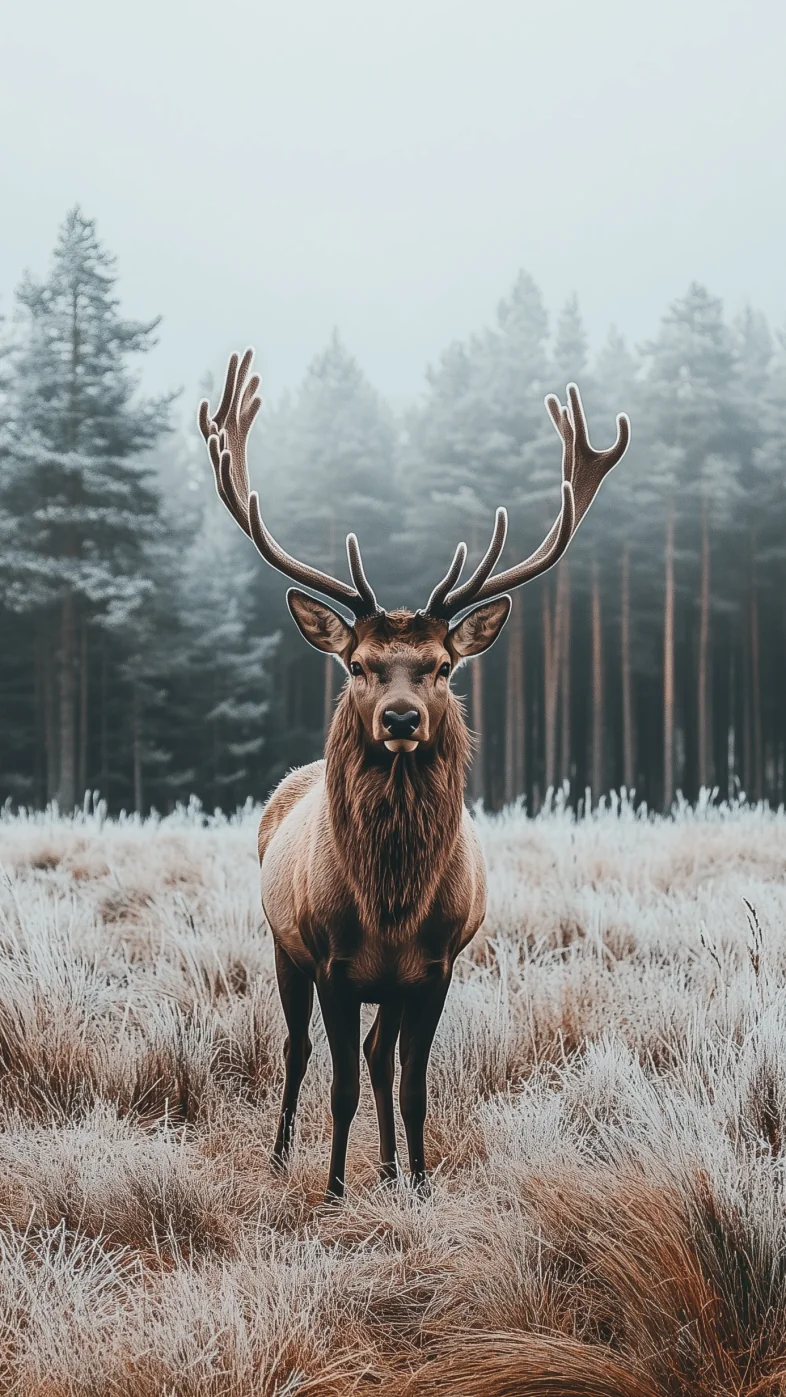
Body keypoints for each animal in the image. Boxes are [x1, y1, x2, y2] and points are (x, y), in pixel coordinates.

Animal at [198, 349, 629, 1201]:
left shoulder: (433, 966)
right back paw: (281, 1158)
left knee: (379, 1054)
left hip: (386, 983)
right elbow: (337, 1083)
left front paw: (421, 1185)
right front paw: (334, 1191)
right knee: (298, 1051)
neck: (390, 903)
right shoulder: (331, 961)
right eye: (359, 664)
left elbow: (413, 1083)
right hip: (281, 943)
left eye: (441, 665)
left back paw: (394, 1166)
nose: (401, 719)